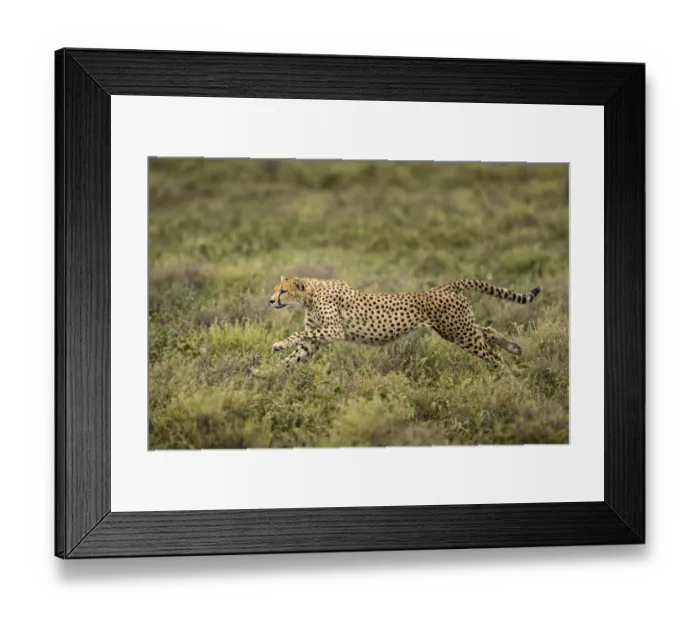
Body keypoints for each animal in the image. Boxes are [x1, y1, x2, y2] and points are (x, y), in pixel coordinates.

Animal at [267, 275, 541, 369]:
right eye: (275, 290)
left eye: (283, 291)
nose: (270, 301)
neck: (310, 295)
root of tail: (445, 286)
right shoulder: (317, 338)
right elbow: (298, 352)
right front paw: (267, 373)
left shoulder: (334, 330)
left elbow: (297, 336)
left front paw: (279, 344)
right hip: (456, 328)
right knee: (486, 329)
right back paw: (514, 348)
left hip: (459, 332)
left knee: (492, 354)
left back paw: (508, 378)